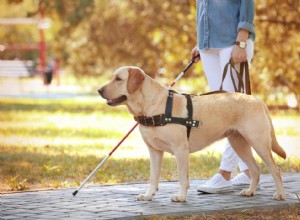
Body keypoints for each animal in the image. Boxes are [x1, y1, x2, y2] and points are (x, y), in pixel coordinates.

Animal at [98, 65, 286, 203]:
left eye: (118, 79)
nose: (99, 90)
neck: (152, 106)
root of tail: (258, 100)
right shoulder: (154, 151)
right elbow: (153, 177)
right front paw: (149, 195)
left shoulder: (181, 150)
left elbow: (182, 177)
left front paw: (181, 197)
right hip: (238, 143)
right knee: (255, 169)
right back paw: (250, 191)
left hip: (259, 142)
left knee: (275, 169)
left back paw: (280, 195)